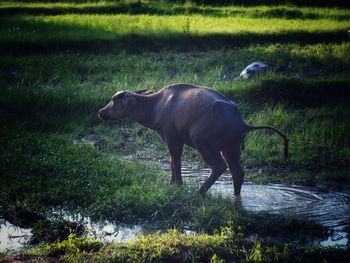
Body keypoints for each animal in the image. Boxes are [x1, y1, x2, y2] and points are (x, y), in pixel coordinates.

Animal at [98, 83, 288, 197]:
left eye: (114, 100)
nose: (100, 112)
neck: (156, 105)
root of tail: (241, 122)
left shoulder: (172, 138)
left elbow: (175, 161)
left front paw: (178, 185)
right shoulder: (175, 140)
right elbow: (172, 162)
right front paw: (172, 183)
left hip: (204, 143)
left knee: (219, 167)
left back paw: (198, 192)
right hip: (231, 148)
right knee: (237, 171)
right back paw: (236, 195)